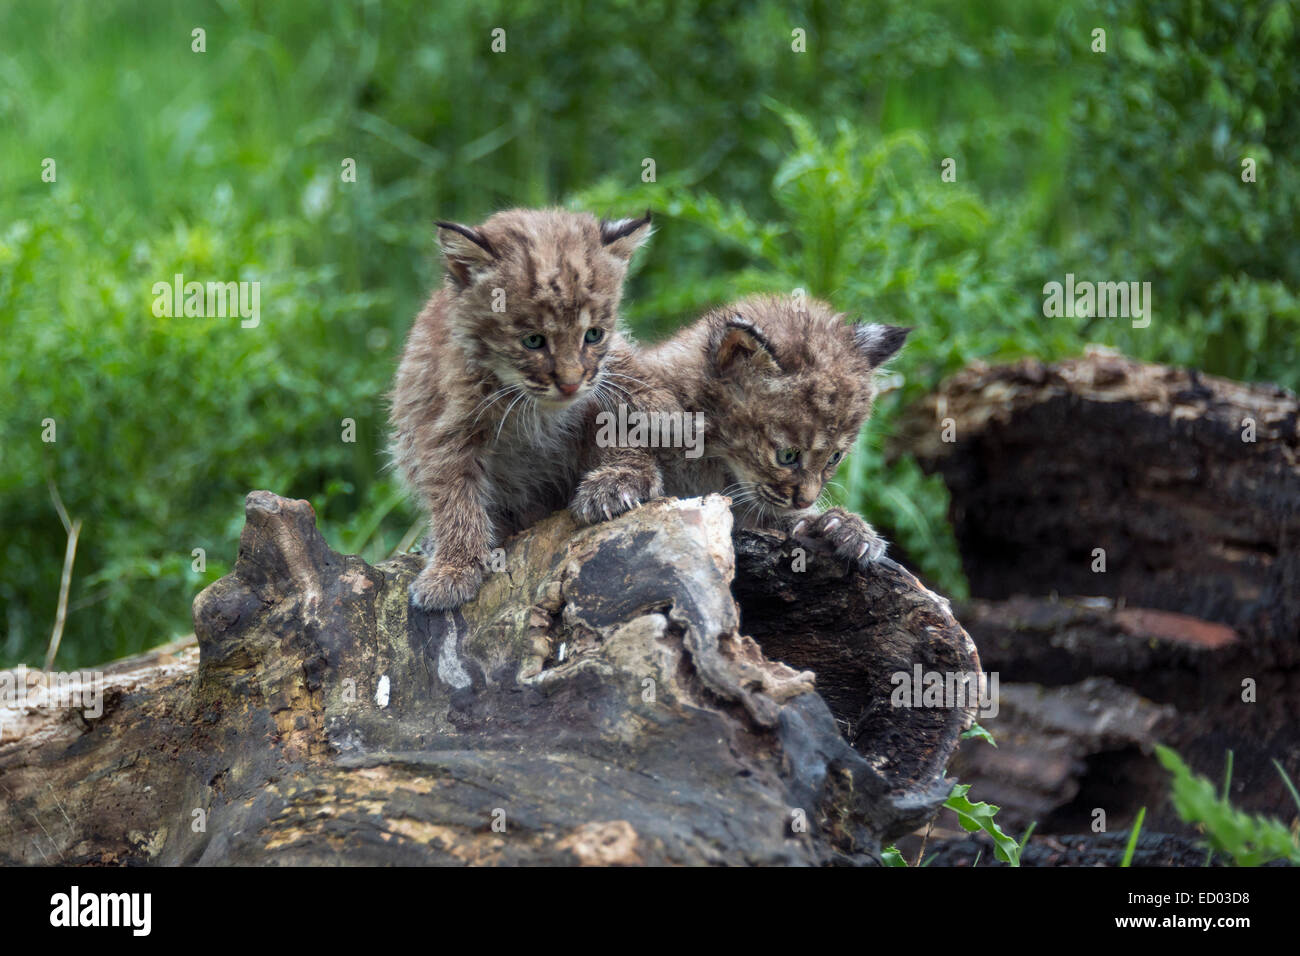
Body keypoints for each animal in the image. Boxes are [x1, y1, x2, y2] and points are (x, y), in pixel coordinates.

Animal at [382, 210, 650, 613]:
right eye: (533, 341)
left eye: (593, 335)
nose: (570, 384)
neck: (533, 404)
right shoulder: (444, 424)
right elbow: (454, 495)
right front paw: (454, 566)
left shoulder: (611, 375)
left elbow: (629, 423)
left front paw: (619, 481)